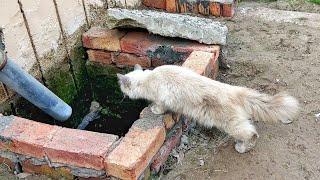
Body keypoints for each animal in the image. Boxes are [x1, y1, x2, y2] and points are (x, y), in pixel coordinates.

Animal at [116, 64, 298, 153]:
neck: (149, 78)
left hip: (231, 125)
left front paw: (153, 109)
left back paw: (242, 148)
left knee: (251, 133)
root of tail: (234, 90)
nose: (122, 95)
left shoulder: (162, 99)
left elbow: (159, 107)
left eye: (123, 88)